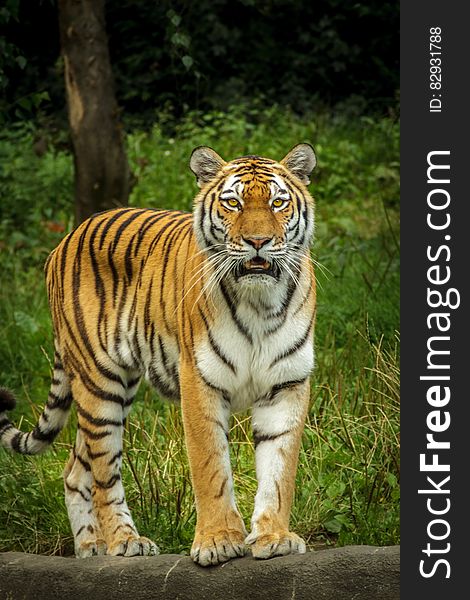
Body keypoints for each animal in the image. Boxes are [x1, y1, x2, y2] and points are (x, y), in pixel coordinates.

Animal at [0, 143, 318, 564]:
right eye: (232, 203)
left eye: (278, 202)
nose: (258, 241)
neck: (260, 302)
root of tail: (67, 237)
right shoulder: (199, 381)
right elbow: (210, 467)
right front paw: (217, 540)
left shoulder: (286, 384)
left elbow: (279, 471)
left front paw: (274, 536)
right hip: (99, 384)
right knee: (104, 473)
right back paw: (124, 541)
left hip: (107, 391)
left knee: (75, 471)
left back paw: (90, 547)